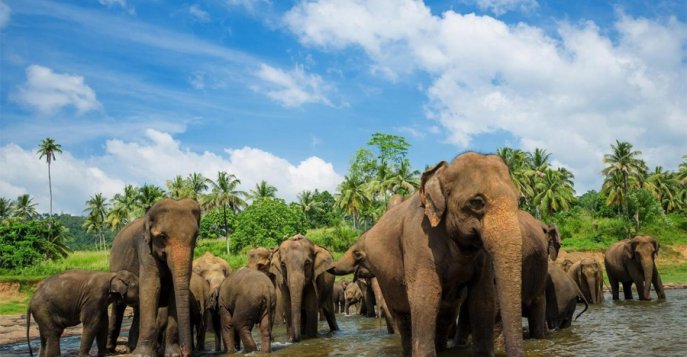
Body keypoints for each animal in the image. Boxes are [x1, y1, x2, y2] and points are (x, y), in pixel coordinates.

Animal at [107, 197, 199, 356]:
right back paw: (111, 349)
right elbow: (151, 287)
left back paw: (131, 347)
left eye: (196, 237)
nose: (186, 352)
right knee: (118, 307)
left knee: (138, 308)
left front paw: (173, 354)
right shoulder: (145, 249)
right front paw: (142, 355)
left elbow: (174, 292)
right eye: (162, 236)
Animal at [330, 153, 524, 356]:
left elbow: (483, 298)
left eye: (519, 200)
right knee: (402, 314)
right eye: (476, 203)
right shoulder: (419, 239)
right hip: (386, 280)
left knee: (446, 313)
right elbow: (425, 297)